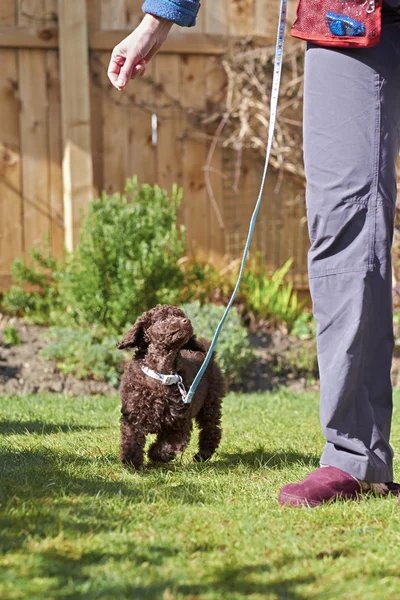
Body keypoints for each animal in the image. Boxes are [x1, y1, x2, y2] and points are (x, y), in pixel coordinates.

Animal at [117, 304, 227, 468]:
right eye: (163, 319)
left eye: (181, 315)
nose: (186, 321)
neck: (161, 375)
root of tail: (208, 354)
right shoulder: (133, 416)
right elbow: (131, 439)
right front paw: (131, 462)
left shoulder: (179, 421)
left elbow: (168, 445)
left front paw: (154, 454)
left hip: (211, 401)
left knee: (211, 429)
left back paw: (203, 454)